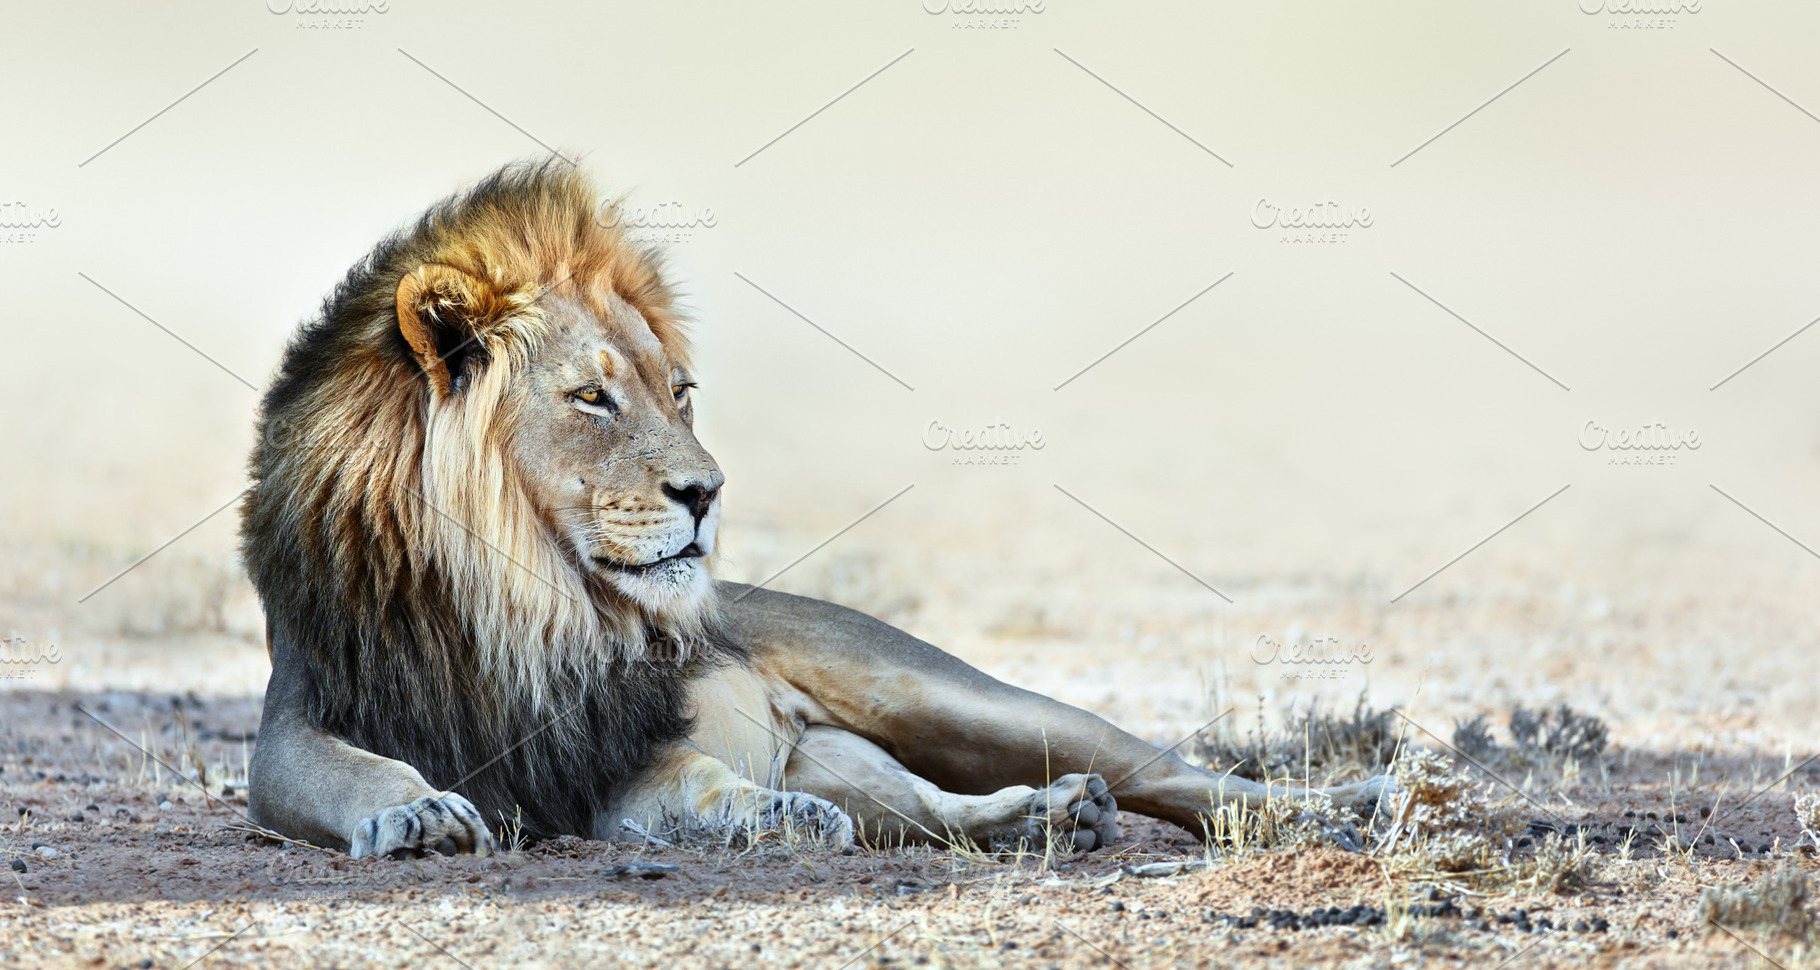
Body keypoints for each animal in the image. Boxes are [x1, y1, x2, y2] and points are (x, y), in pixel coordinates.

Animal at [242, 159, 1390, 858]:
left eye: (679, 393)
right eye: (591, 398)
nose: (706, 492)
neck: (517, 594)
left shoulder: (618, 748)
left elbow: (697, 783)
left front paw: (771, 814)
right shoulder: (301, 719)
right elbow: (347, 772)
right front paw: (415, 813)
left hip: (953, 698)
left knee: (1179, 775)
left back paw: (1346, 806)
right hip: (874, 765)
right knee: (927, 810)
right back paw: (1045, 819)